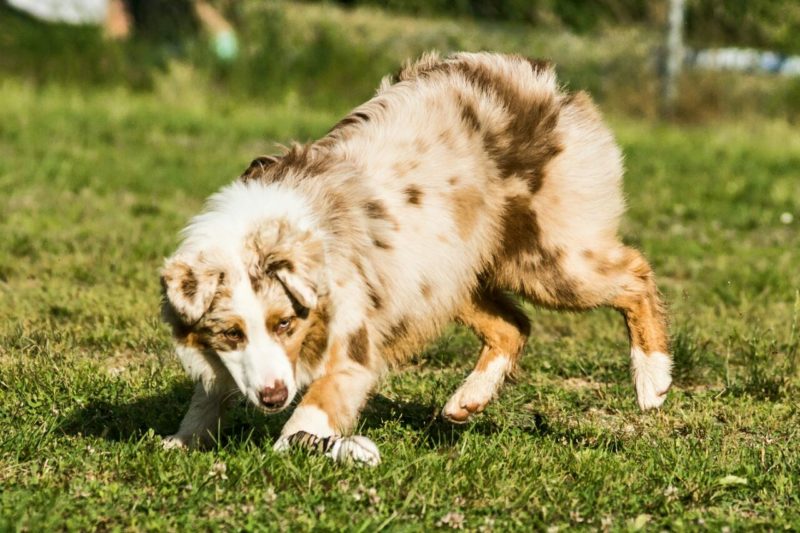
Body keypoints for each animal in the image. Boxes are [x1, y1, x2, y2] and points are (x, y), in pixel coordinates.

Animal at [159, 52, 672, 464]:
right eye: (231, 333)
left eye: (285, 323)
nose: (272, 397)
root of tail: (545, 83)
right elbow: (208, 393)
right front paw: (183, 441)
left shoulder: (353, 333)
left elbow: (321, 401)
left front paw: (302, 444)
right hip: (446, 271)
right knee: (513, 325)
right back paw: (467, 399)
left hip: (546, 258)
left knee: (634, 275)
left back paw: (652, 379)